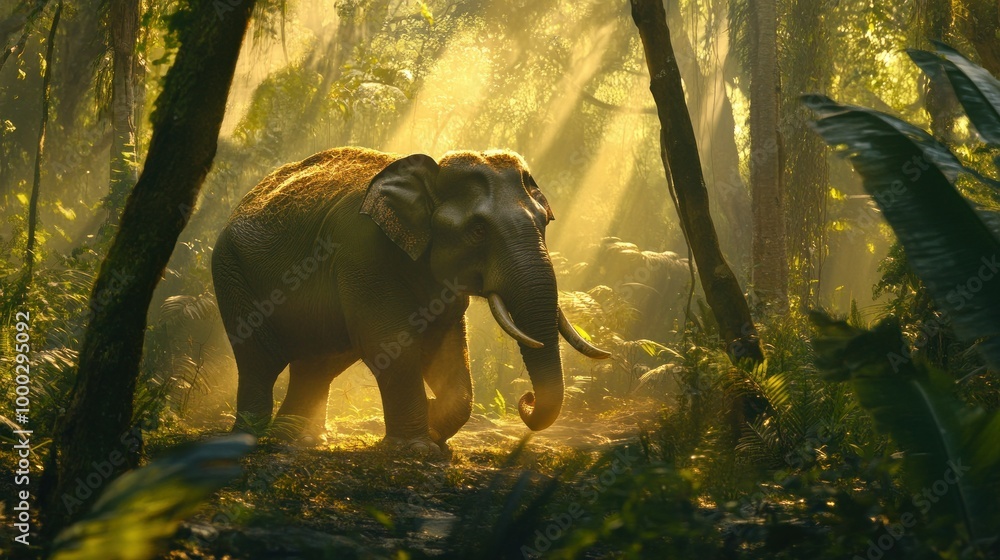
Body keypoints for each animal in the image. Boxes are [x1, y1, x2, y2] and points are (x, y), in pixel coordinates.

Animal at [211, 147, 610, 452]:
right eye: (478, 230)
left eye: (544, 223)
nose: (526, 401)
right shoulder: (361, 250)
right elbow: (389, 343)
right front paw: (417, 448)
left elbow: (447, 348)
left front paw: (436, 433)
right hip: (230, 270)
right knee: (258, 358)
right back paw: (252, 438)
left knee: (319, 362)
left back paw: (299, 439)